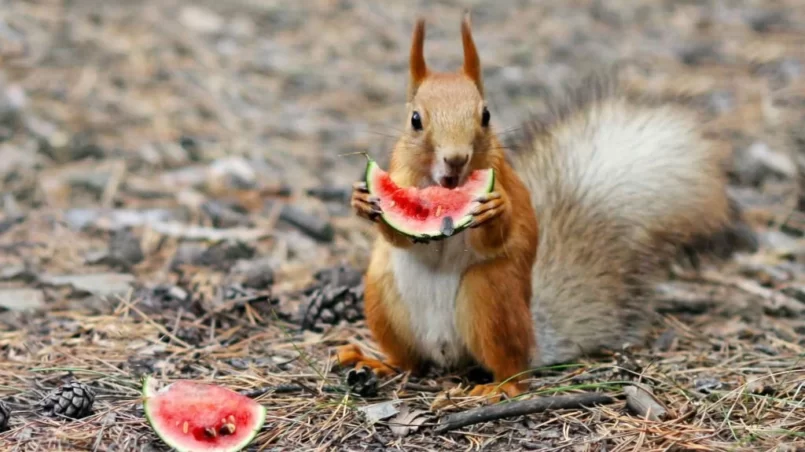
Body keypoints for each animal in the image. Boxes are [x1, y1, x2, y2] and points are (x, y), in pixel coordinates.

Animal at [334, 11, 748, 400]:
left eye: (486, 115)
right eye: (415, 119)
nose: (455, 159)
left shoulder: (505, 181)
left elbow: (503, 231)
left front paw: (496, 210)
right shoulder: (401, 177)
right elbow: (397, 235)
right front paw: (362, 199)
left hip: (490, 296)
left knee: (514, 371)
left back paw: (497, 388)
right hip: (382, 296)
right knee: (411, 362)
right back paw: (377, 361)